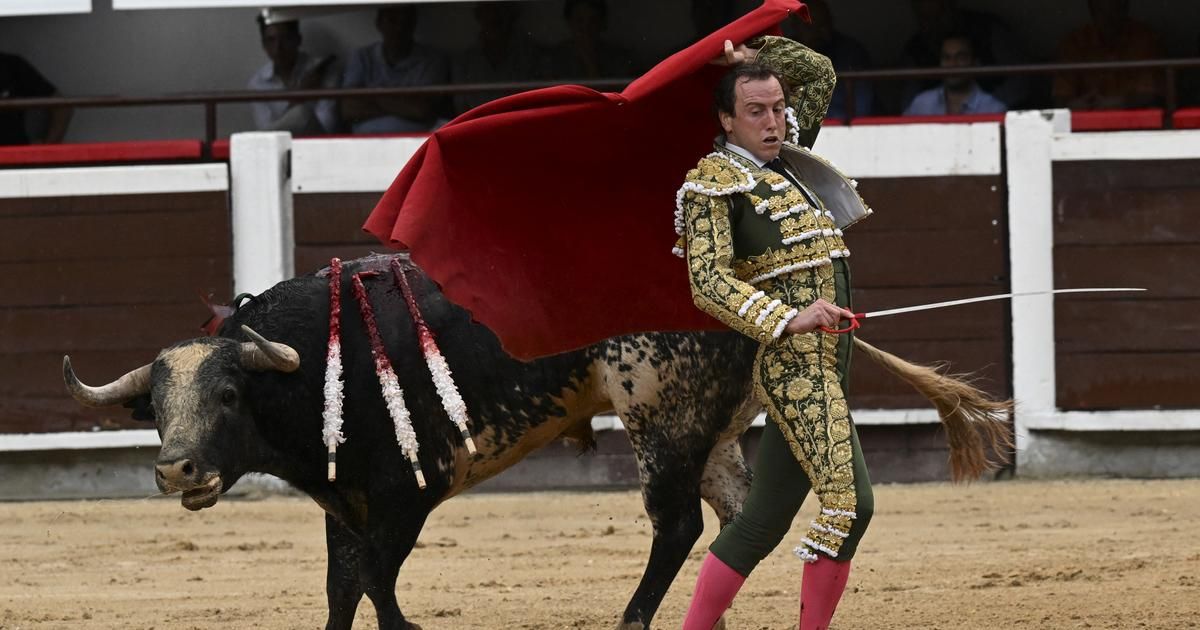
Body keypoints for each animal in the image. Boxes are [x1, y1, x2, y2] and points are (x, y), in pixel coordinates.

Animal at [63, 253, 758, 624]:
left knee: (677, 527)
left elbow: (374, 576)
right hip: (710, 432)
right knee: (738, 520)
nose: (176, 471)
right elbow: (343, 586)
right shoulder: (345, 502)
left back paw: (631, 622)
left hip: (661, 419)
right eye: (155, 408)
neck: (319, 367)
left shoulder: (406, 495)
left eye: (229, 395)